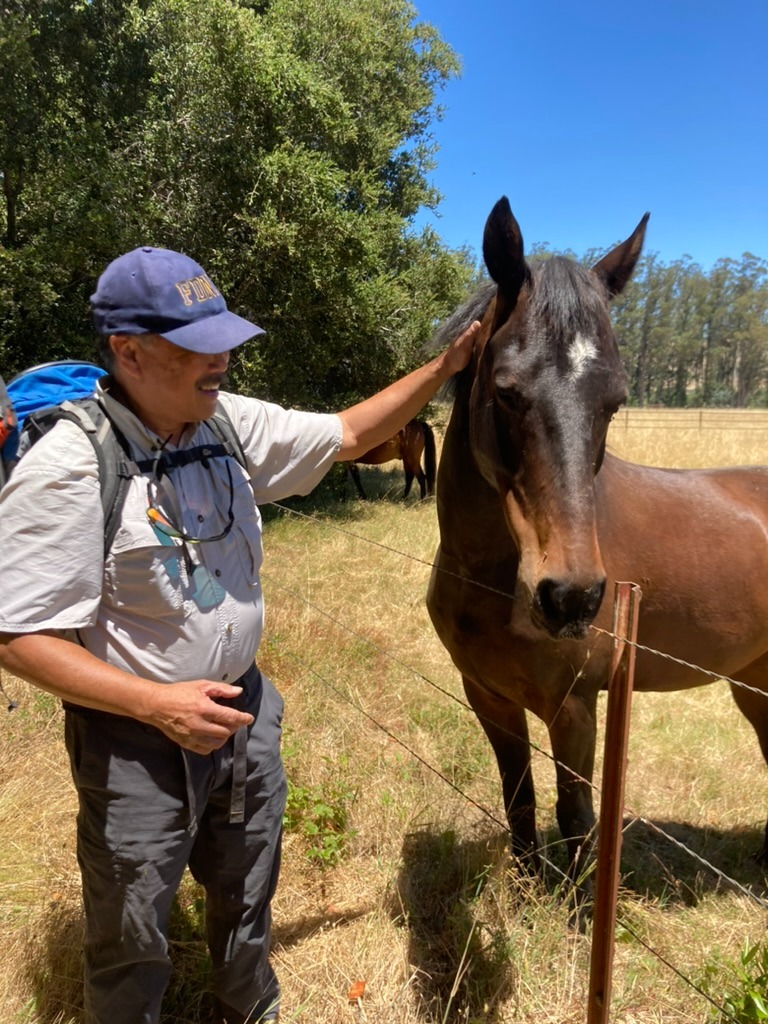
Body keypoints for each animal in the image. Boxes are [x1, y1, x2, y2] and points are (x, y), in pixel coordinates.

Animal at [426, 196, 768, 901]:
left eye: (615, 402)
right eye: (506, 391)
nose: (571, 597)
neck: (491, 581)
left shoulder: (577, 707)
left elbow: (577, 816)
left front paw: (577, 910)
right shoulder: (488, 697)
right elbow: (519, 797)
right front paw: (528, 891)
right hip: (755, 683)